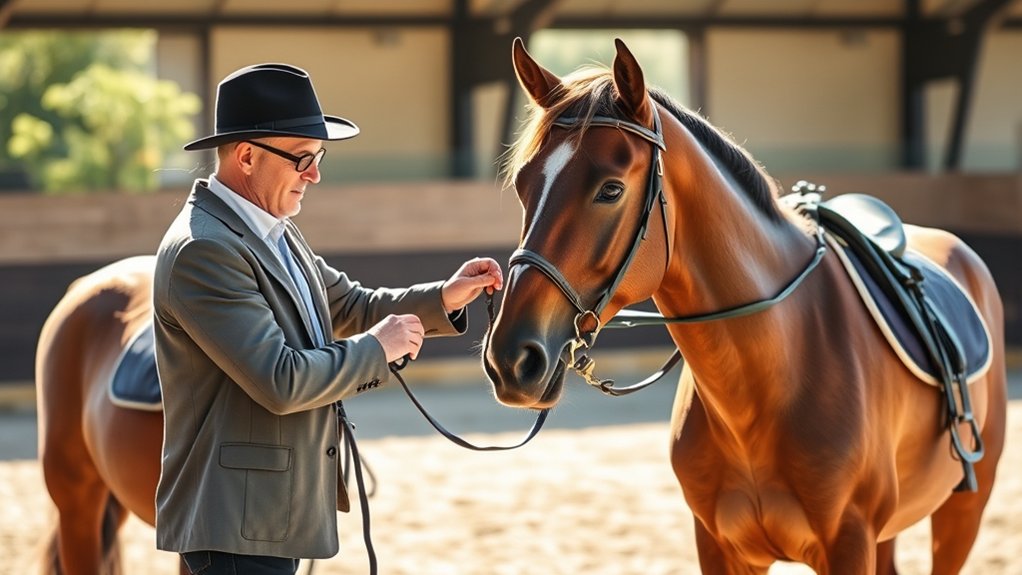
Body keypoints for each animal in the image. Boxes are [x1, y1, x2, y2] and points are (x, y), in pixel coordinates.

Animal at [483, 38, 1007, 574]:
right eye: (524, 185)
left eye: (610, 189)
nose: (511, 359)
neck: (774, 370)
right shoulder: (720, 547)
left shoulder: (850, 543)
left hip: (965, 506)